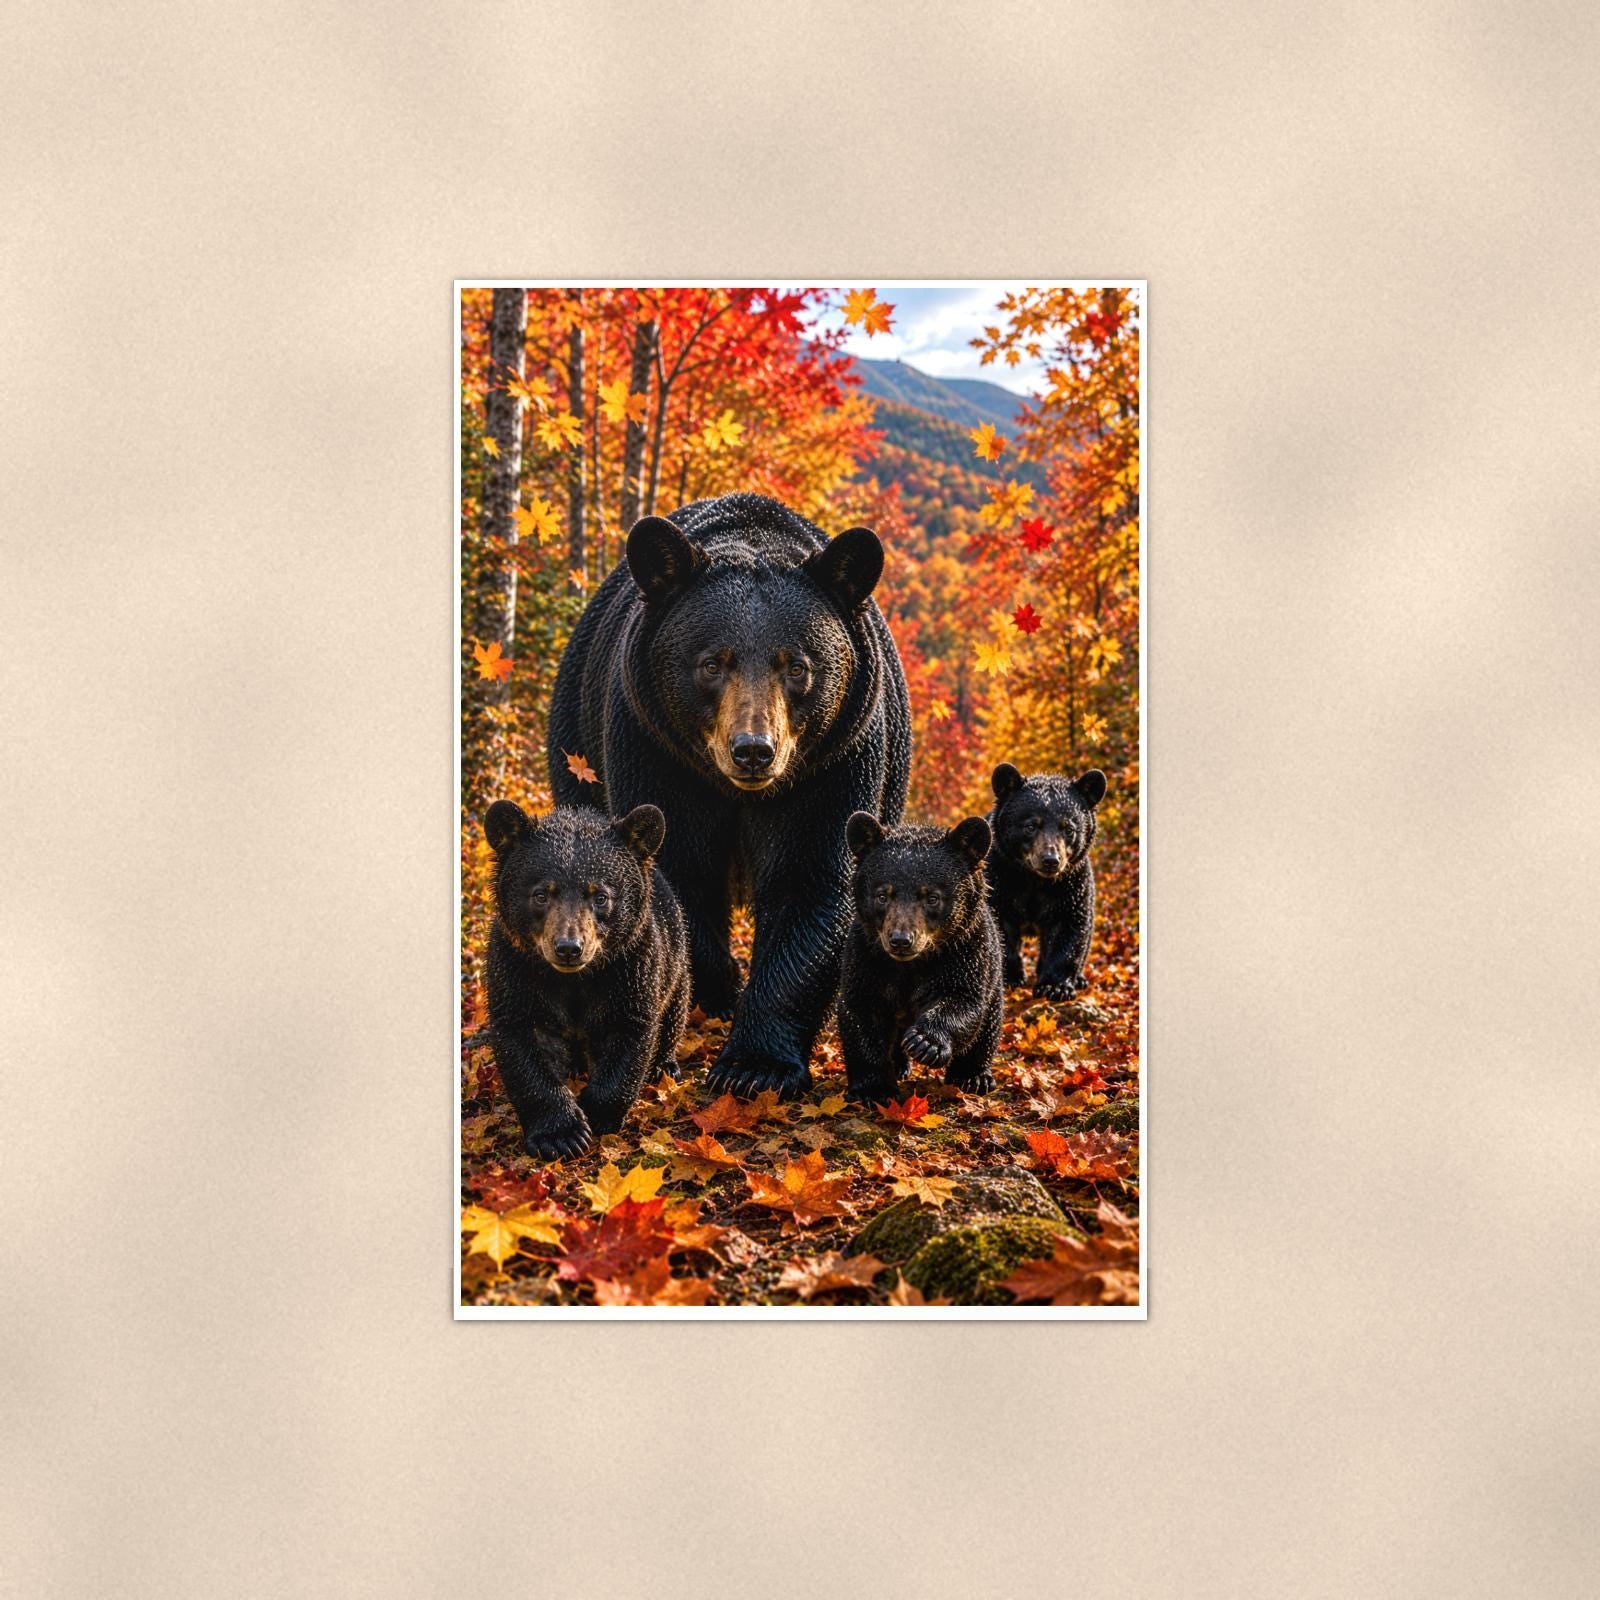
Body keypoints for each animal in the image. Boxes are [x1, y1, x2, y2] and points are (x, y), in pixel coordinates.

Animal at [481, 800, 689, 1159]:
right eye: (541, 894)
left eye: (600, 896)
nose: (568, 948)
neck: (574, 979)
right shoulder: (515, 968)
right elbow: (521, 1038)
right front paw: (561, 1134)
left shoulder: (631, 967)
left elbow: (629, 1033)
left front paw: (597, 1114)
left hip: (676, 959)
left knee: (674, 1012)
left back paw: (665, 1066)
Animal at [547, 492, 911, 1100]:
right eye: (712, 663)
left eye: (797, 665)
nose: (753, 751)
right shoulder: (656, 749)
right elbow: (677, 875)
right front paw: (711, 999)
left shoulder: (834, 762)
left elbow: (810, 879)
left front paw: (754, 1064)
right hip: (577, 745)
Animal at [837, 811, 1004, 1106]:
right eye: (882, 895)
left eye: (932, 897)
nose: (901, 940)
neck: (913, 964)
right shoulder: (866, 955)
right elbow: (861, 1012)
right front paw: (874, 1088)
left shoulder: (966, 952)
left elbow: (963, 1000)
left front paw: (925, 1042)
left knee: (988, 1025)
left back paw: (973, 1076)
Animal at [986, 764, 1107, 1000]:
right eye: (1031, 826)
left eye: (1068, 828)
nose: (1051, 860)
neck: (1034, 879)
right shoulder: (999, 879)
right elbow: (1001, 928)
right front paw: (1010, 978)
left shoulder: (1071, 884)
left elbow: (1068, 928)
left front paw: (1055, 987)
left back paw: (1079, 978)